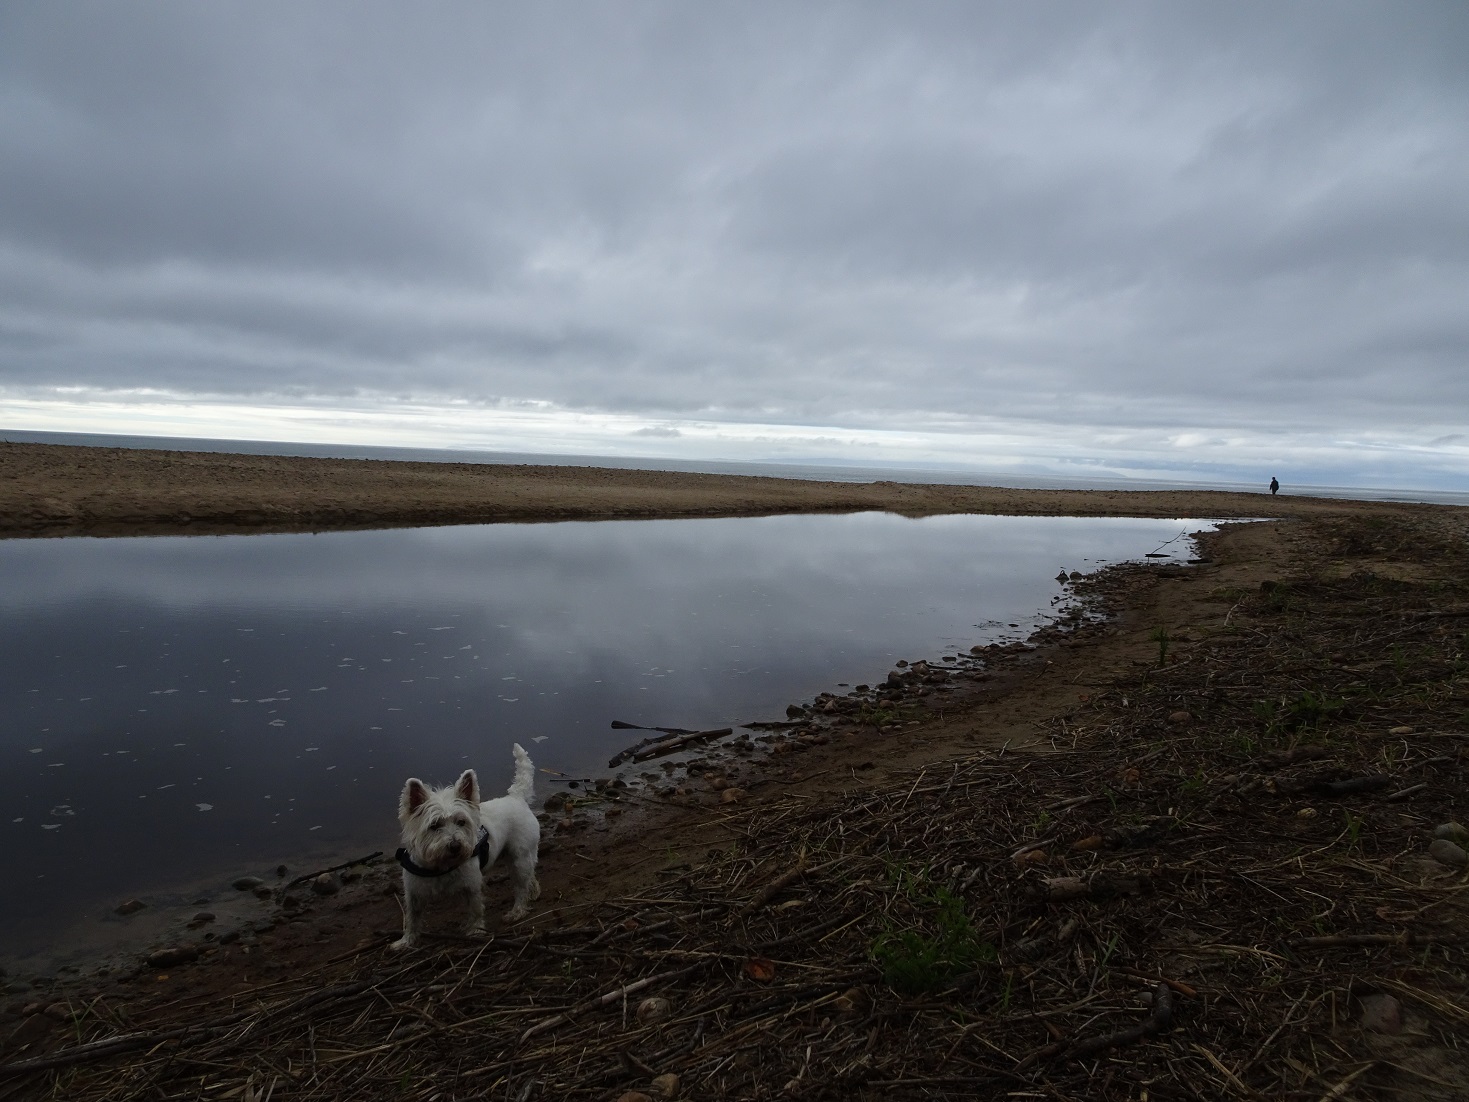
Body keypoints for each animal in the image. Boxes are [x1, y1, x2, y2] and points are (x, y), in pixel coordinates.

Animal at [393, 746, 543, 952]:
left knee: (520, 887)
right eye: (434, 825)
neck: (441, 865)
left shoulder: (471, 884)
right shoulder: (414, 893)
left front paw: (475, 931)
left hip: (519, 858)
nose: (456, 846)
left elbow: (475, 908)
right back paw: (533, 892)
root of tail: (516, 798)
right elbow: (412, 918)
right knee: (530, 876)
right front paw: (406, 941)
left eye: (461, 822)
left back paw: (517, 911)